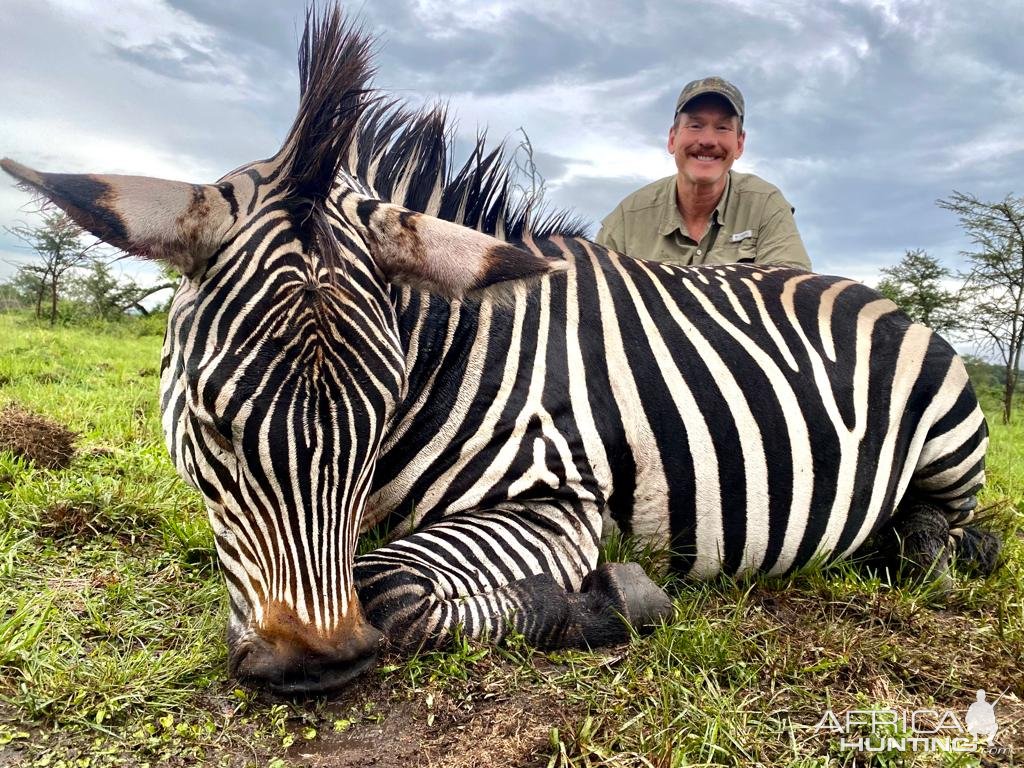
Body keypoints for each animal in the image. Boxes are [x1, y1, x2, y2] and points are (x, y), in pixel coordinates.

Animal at [0, 6, 995, 696]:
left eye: (379, 414)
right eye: (211, 426)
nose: (318, 666)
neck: (448, 352)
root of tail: (868, 291)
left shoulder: (563, 498)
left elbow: (393, 590)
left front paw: (615, 597)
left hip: (951, 438)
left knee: (939, 537)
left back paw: (920, 547)